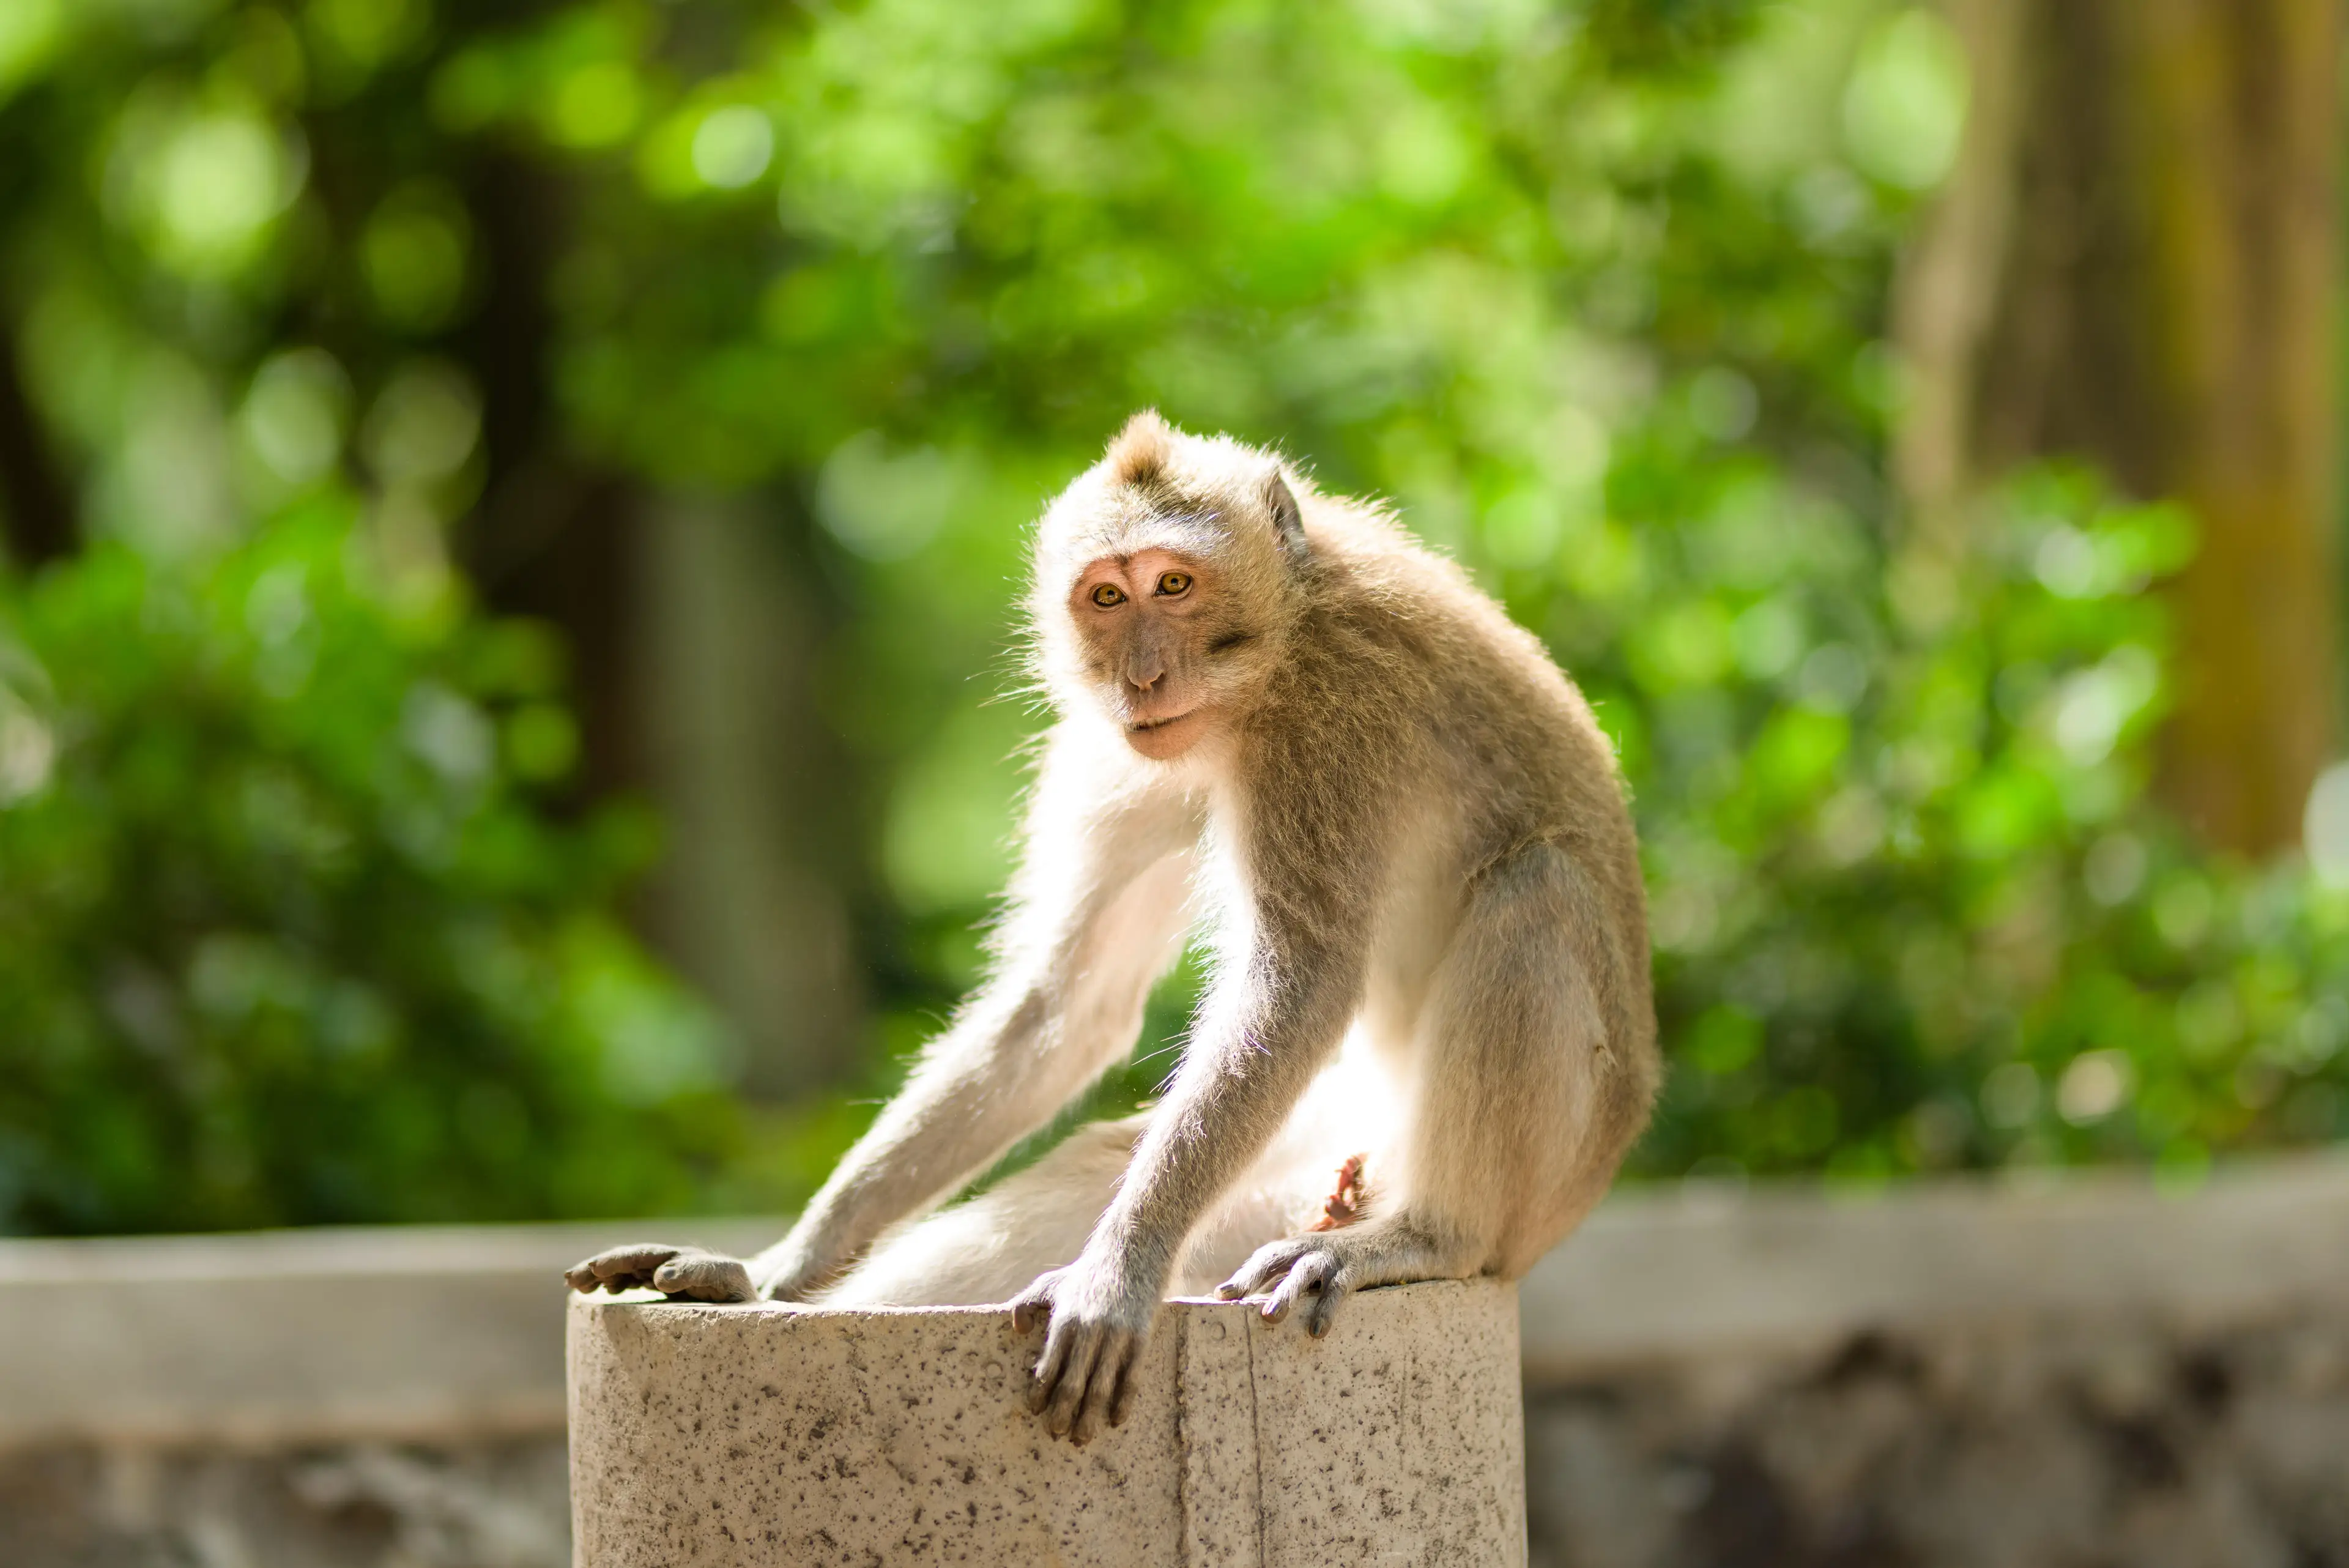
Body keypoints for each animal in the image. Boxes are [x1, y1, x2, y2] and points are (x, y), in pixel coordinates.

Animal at [567, 411, 1658, 1447]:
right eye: (1106, 597)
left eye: (1175, 583)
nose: (1143, 674)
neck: (1276, 642)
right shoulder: (1117, 750)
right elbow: (1066, 1000)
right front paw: (774, 1265)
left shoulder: (1329, 717)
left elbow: (1299, 978)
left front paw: (1117, 1274)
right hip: (1311, 1150)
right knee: (1103, 1161)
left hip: (1543, 1177)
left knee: (1537, 891)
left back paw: (1428, 1235)